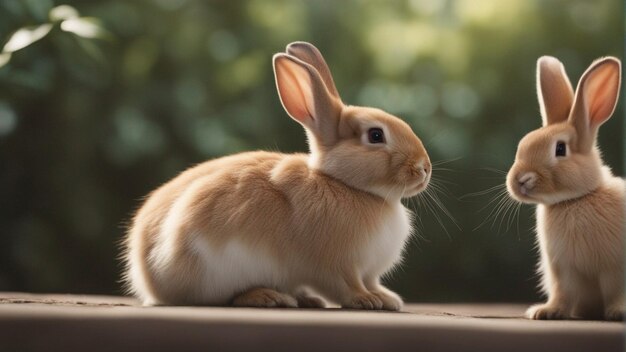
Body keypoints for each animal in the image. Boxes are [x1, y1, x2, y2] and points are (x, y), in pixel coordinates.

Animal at [121, 42, 428, 310]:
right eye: (375, 135)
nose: (425, 168)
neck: (344, 184)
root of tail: (147, 280)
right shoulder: (335, 266)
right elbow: (345, 287)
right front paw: (368, 300)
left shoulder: (367, 272)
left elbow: (371, 282)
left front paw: (387, 298)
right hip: (215, 269)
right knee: (227, 297)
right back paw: (269, 296)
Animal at [504, 55, 620, 322]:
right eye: (522, 145)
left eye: (559, 149)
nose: (519, 180)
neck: (574, 200)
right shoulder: (562, 268)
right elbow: (562, 293)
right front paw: (545, 312)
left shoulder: (614, 267)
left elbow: (617, 291)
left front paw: (619, 312)